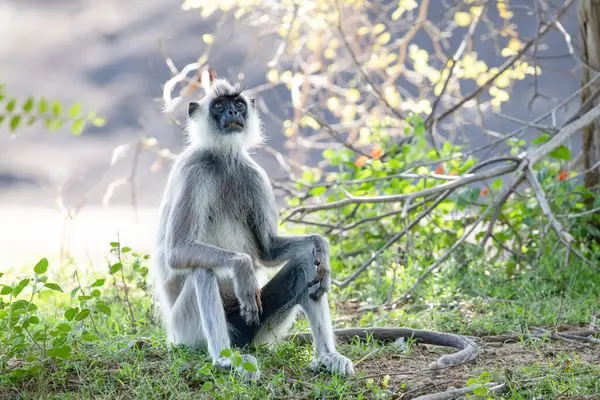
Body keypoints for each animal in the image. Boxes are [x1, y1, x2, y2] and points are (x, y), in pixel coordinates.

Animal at [152, 76, 354, 380]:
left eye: (238, 104)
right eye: (219, 105)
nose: (231, 113)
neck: (222, 159)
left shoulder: (253, 173)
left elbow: (270, 249)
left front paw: (321, 246)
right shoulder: (193, 169)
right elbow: (178, 251)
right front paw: (243, 267)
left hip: (258, 331)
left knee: (307, 262)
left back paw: (327, 356)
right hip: (184, 332)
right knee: (202, 269)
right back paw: (225, 359)